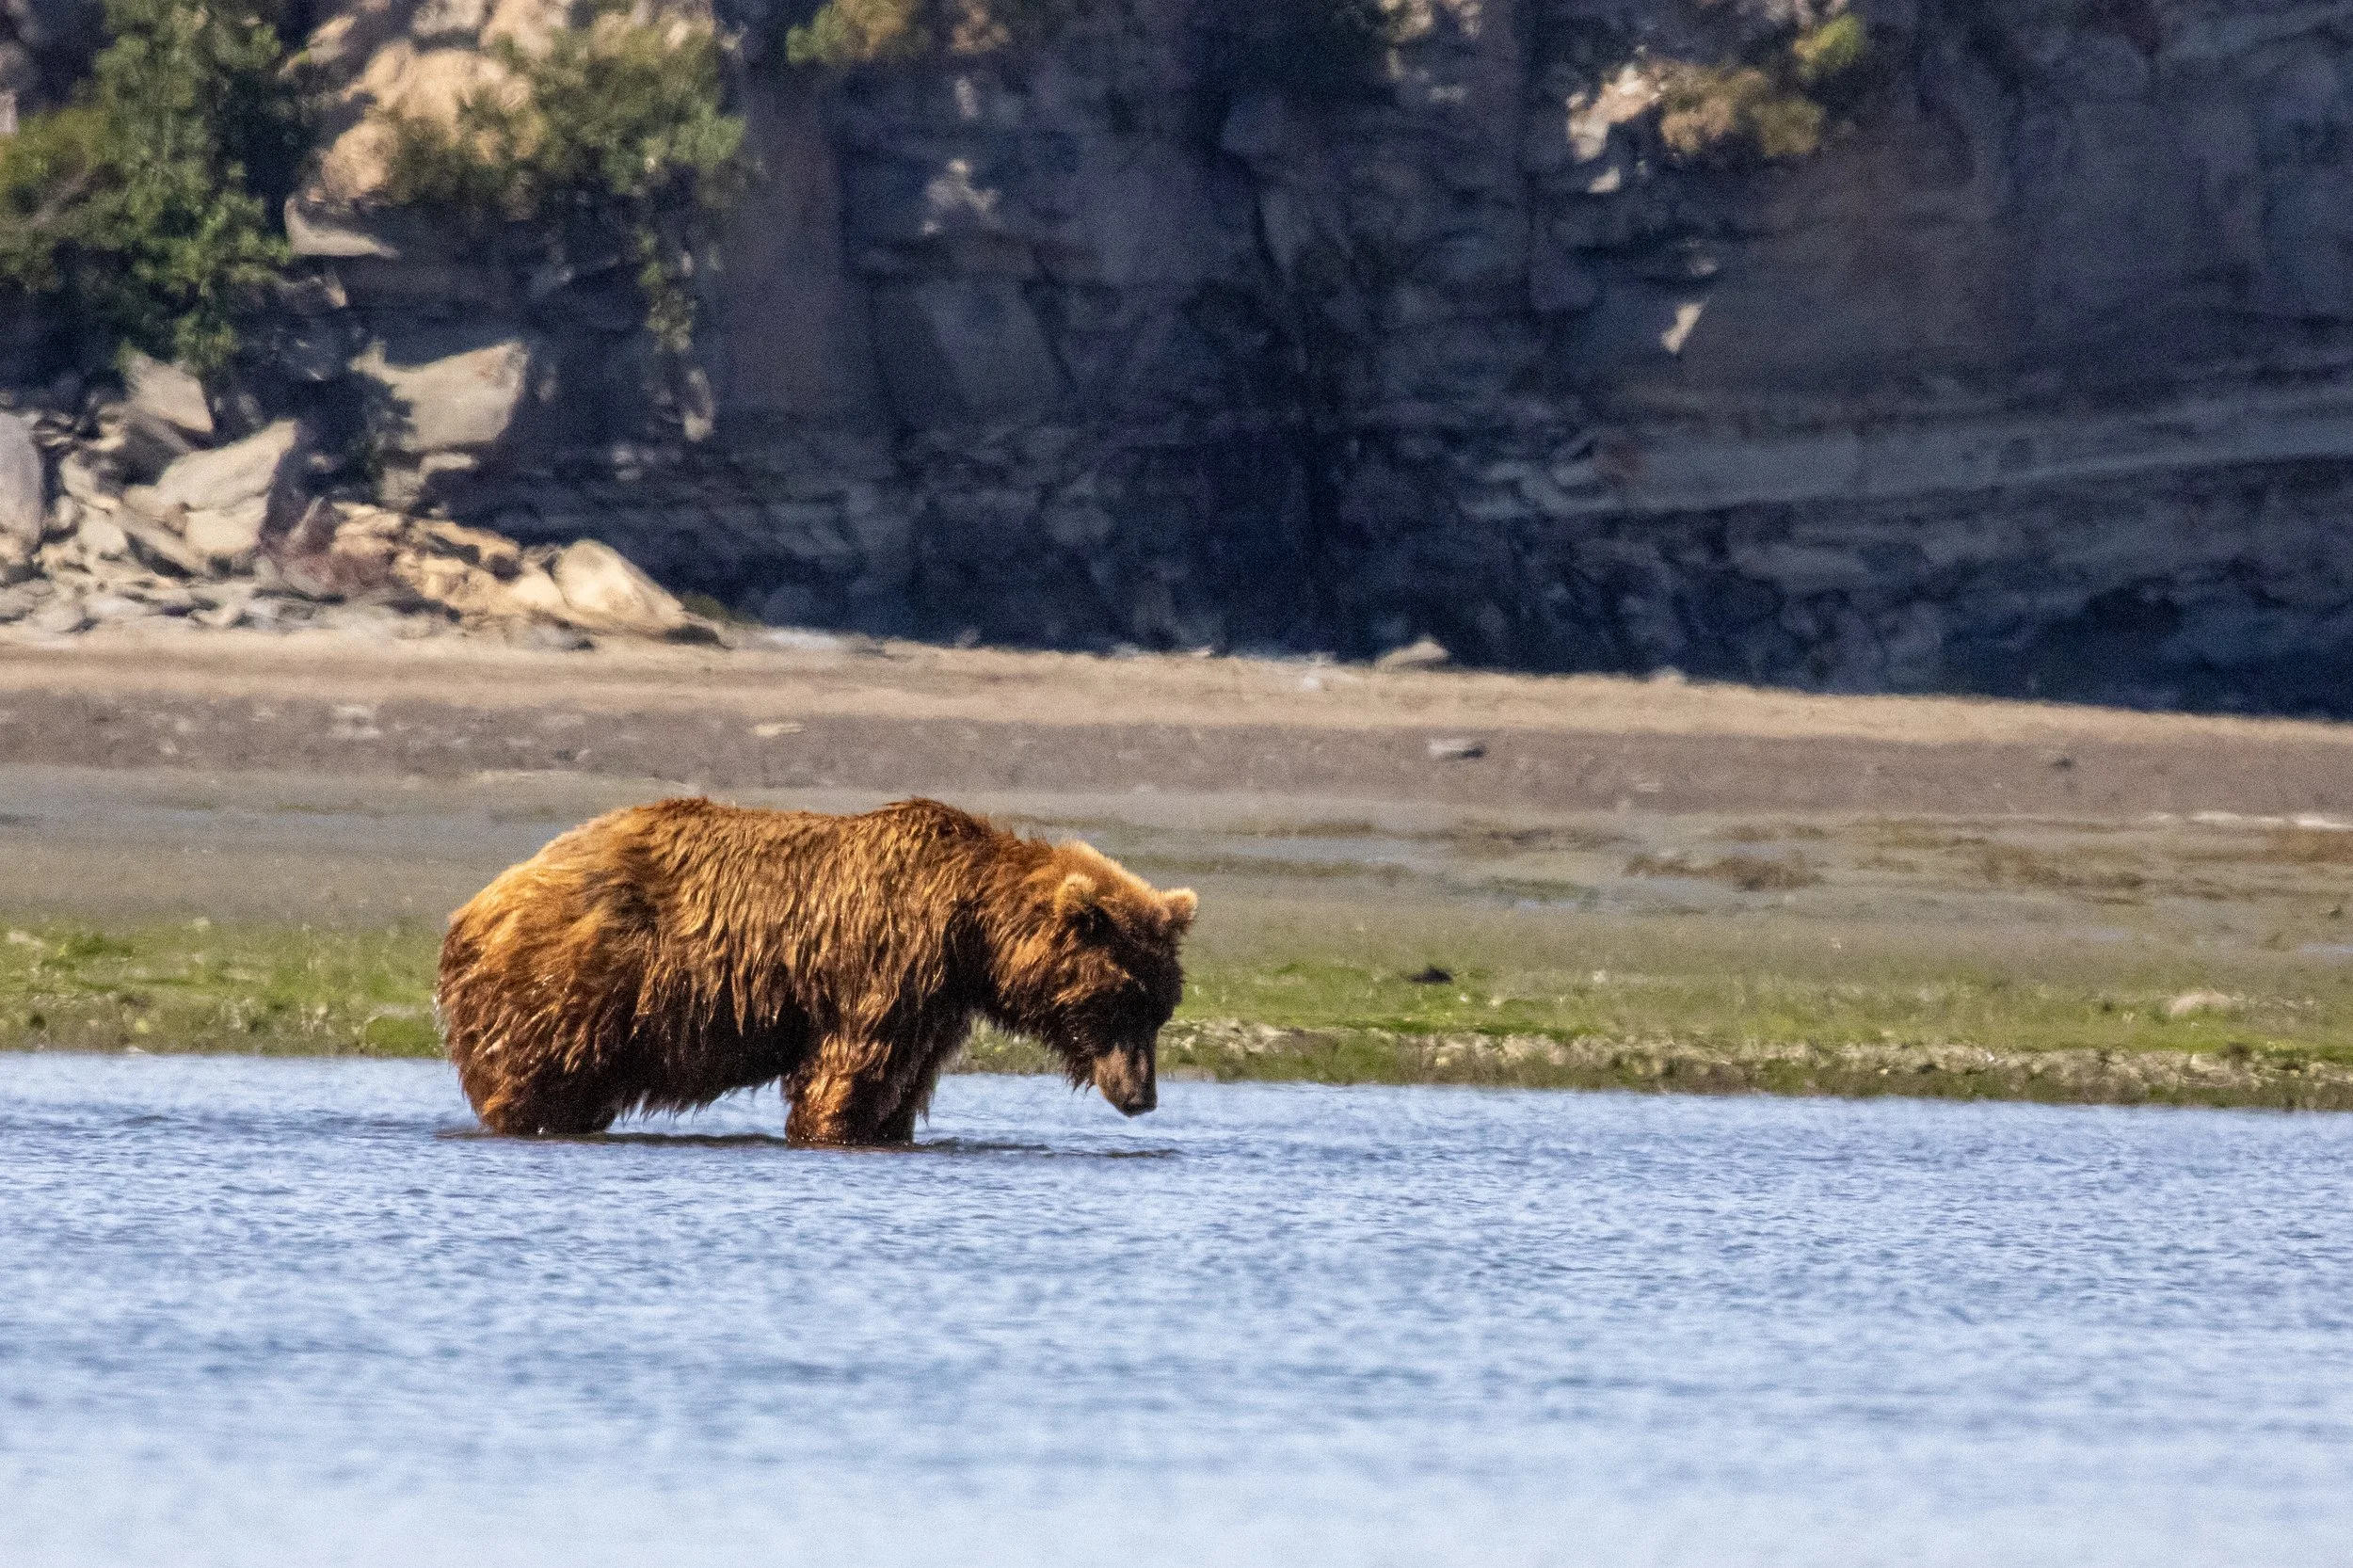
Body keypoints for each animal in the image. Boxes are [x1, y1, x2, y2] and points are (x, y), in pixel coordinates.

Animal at [436, 796, 1197, 1143]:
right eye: (1119, 999)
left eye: (1161, 1008)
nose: (1142, 1095)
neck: (972, 930)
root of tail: (476, 904)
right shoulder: (887, 968)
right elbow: (850, 1074)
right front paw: (831, 1129)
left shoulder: (937, 1005)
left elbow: (902, 1085)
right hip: (570, 986)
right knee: (536, 1079)